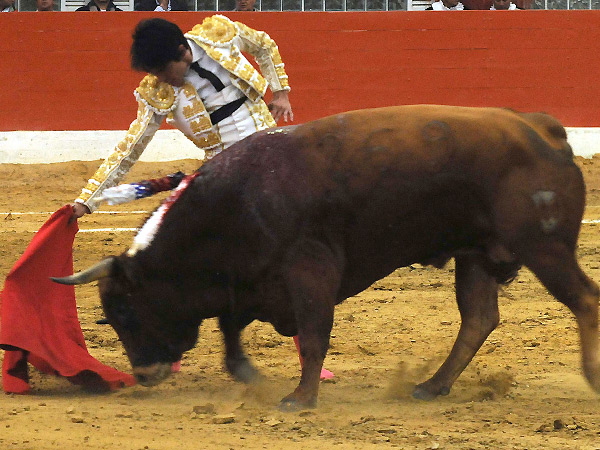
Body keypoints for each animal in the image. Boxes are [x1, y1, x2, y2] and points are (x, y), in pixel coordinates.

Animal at [52, 106, 600, 412]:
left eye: (124, 312)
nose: (144, 374)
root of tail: (542, 129)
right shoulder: (251, 283)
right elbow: (231, 329)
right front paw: (250, 375)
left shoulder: (309, 270)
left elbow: (314, 335)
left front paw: (299, 400)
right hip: (476, 254)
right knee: (480, 317)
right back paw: (431, 386)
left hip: (543, 247)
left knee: (585, 301)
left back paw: (592, 376)